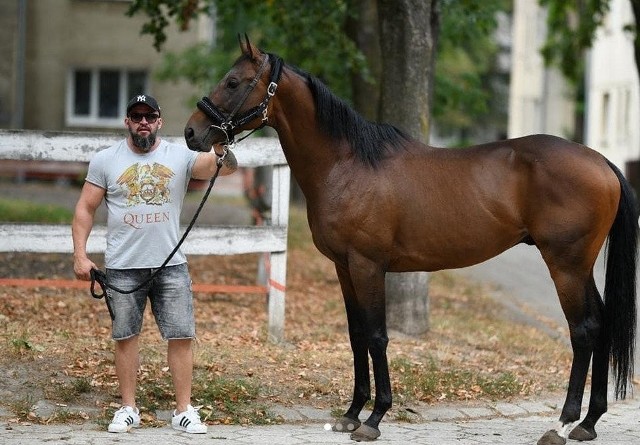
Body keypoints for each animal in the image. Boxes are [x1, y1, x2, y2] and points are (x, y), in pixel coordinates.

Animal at [182, 36, 636, 442]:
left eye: (233, 82)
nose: (191, 133)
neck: (347, 164)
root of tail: (601, 161)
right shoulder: (344, 267)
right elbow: (357, 336)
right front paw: (351, 414)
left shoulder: (368, 266)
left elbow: (378, 336)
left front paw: (374, 418)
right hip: (580, 267)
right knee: (602, 324)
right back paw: (589, 424)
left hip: (565, 265)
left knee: (583, 330)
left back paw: (562, 425)